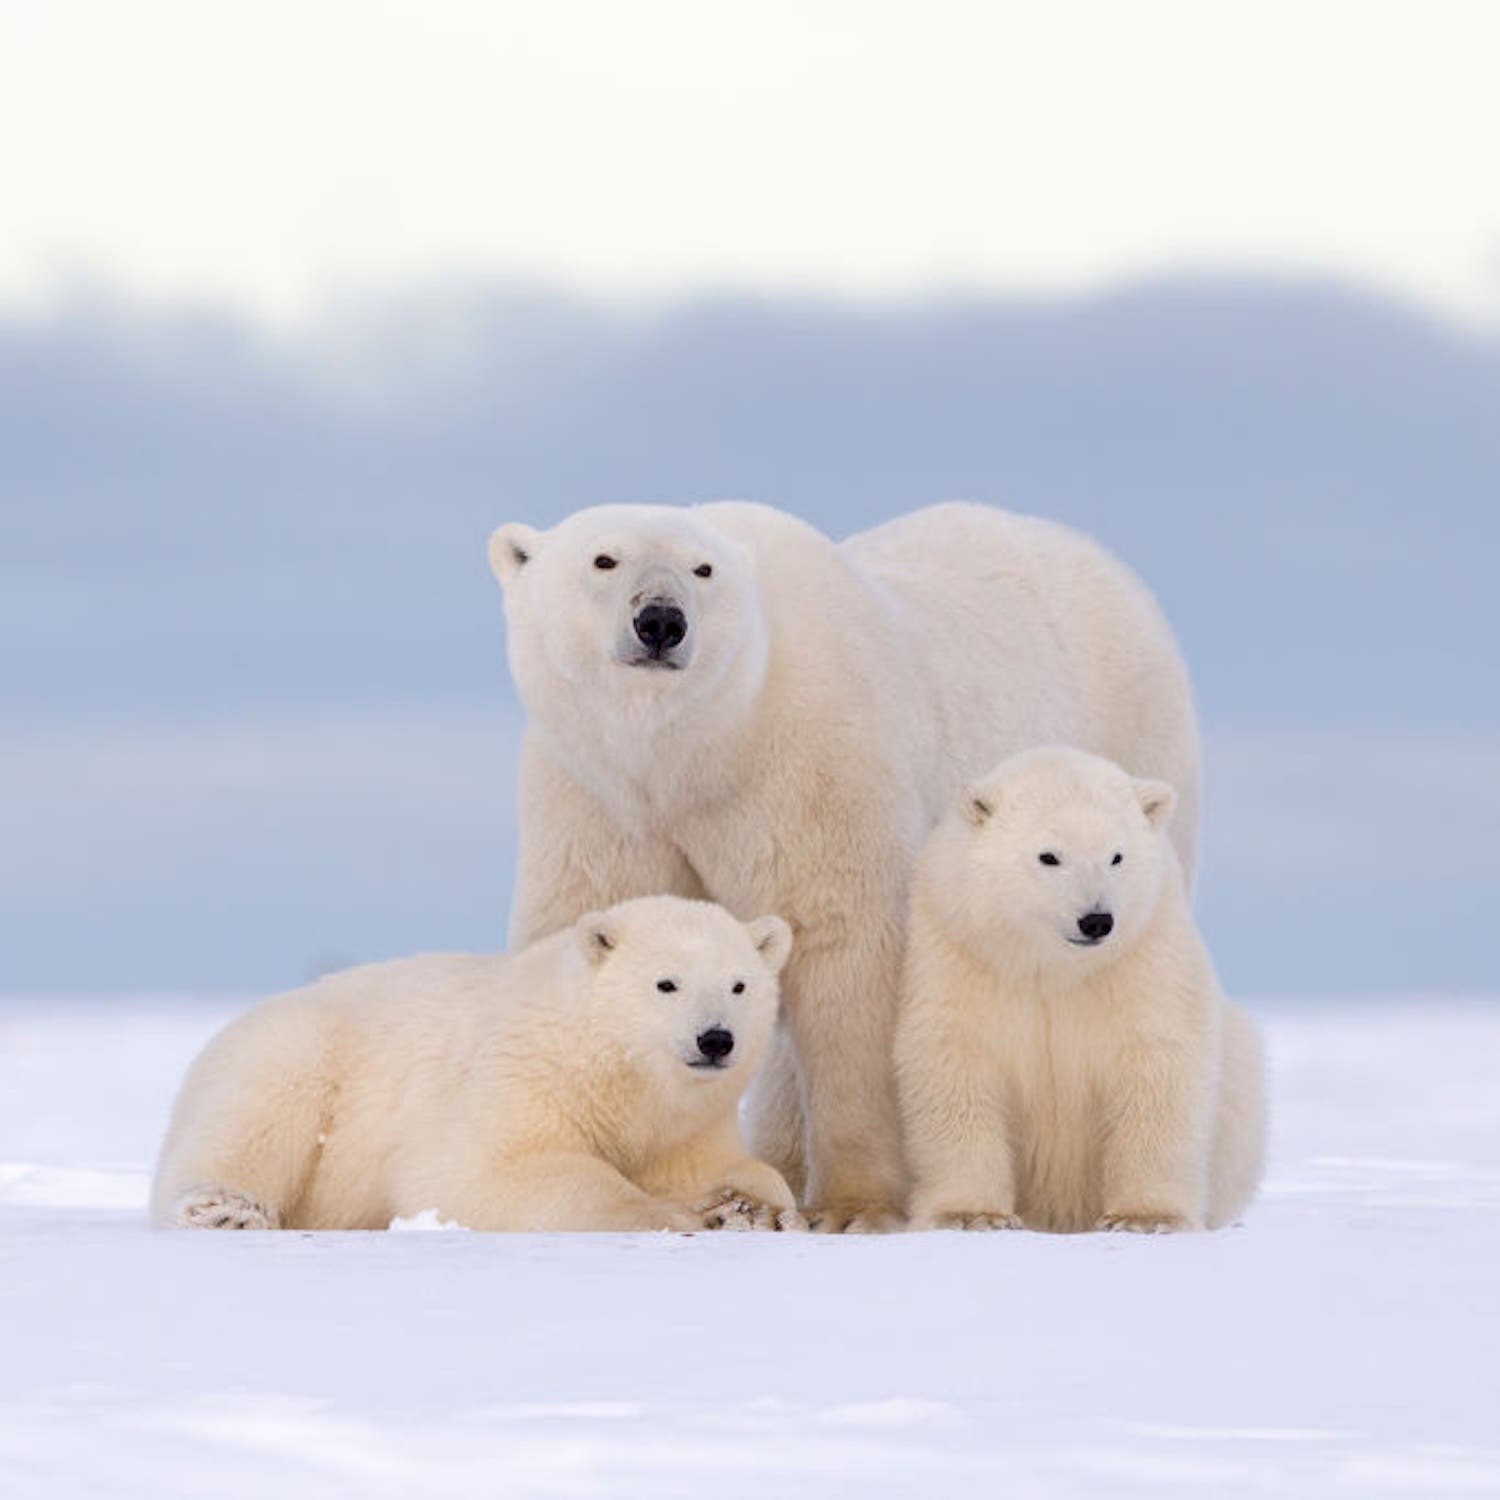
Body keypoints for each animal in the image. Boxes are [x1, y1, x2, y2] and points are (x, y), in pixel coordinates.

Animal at [151, 896, 801, 1233]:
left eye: (739, 985)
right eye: (666, 983)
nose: (716, 1039)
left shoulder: (685, 1126)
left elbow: (732, 1169)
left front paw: (746, 1207)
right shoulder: (523, 1076)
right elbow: (482, 1171)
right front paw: (670, 1213)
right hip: (293, 1052)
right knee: (254, 1122)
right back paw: (223, 1209)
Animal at [487, 501, 1201, 1231]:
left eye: (703, 568)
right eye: (604, 559)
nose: (661, 621)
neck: (703, 750)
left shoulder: (815, 763)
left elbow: (849, 953)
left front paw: (854, 1207)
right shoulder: (598, 795)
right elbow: (586, 921)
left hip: (1131, 747)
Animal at [895, 746, 1265, 1233]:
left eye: (1117, 856)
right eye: (1049, 856)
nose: (1096, 920)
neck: (1054, 969)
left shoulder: (1144, 955)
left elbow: (1158, 1061)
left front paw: (1145, 1218)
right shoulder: (960, 953)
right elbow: (955, 1063)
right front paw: (972, 1214)